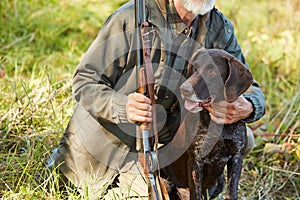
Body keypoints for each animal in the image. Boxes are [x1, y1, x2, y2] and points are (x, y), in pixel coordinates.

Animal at [161, 48, 252, 200]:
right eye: (194, 67)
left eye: (212, 71)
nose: (184, 89)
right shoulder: (196, 161)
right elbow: (195, 194)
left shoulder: (236, 157)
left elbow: (232, 192)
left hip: (219, 183)